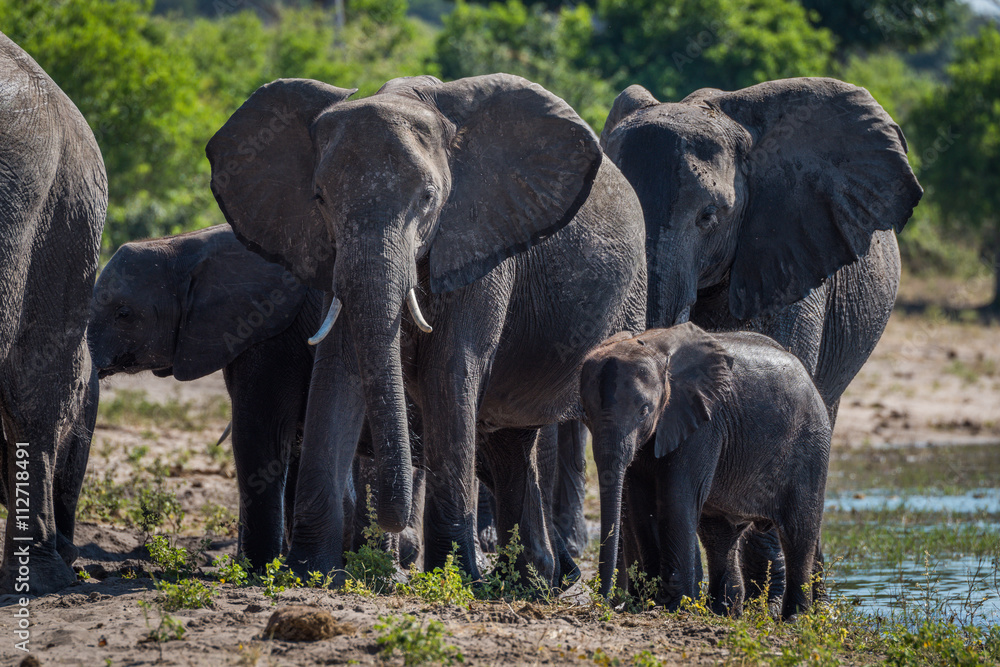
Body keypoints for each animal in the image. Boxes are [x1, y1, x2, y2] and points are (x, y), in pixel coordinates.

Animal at [207, 73, 647, 585]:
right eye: (319, 199)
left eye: (429, 198)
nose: (392, 530)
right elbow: (338, 372)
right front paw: (308, 571)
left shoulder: (481, 241)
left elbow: (450, 372)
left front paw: (453, 577)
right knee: (510, 443)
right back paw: (534, 581)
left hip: (633, 297)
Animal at [580, 323, 831, 620]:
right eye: (585, 413)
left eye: (644, 411)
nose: (603, 603)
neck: (654, 349)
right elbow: (639, 505)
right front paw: (648, 604)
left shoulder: (703, 425)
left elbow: (676, 499)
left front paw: (672, 606)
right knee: (719, 536)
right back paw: (722, 612)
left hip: (810, 446)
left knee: (798, 532)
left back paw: (794, 618)